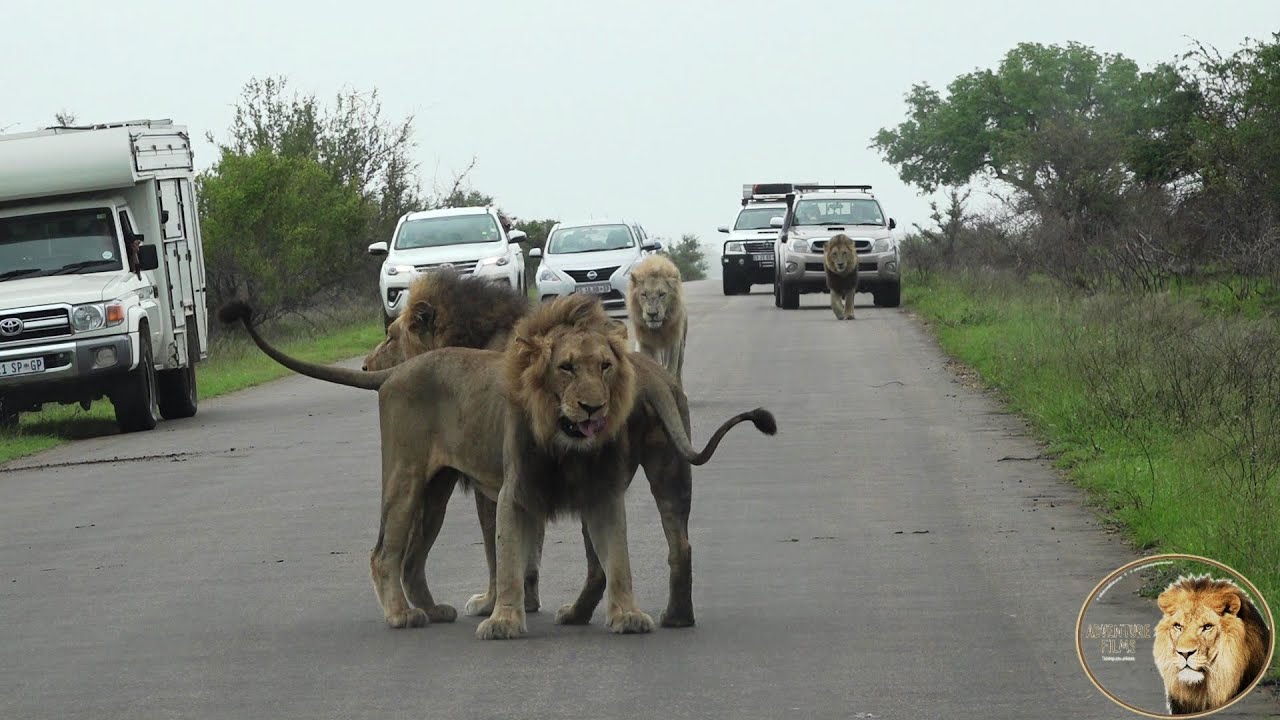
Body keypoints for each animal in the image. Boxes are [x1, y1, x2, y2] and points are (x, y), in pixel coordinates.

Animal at [218, 294, 777, 634]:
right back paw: (404, 616)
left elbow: (609, 558)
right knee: (385, 553)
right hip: (408, 478)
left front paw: (624, 614)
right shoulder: (509, 491)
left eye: (605, 367)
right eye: (566, 368)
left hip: (438, 489)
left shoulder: (593, 493)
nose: (595, 408)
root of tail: (394, 376)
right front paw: (504, 615)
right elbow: (506, 556)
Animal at [626, 253, 688, 386]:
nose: (652, 314)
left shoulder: (674, 343)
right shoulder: (645, 342)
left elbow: (671, 369)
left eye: (662, 294)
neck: (659, 330)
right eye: (644, 294)